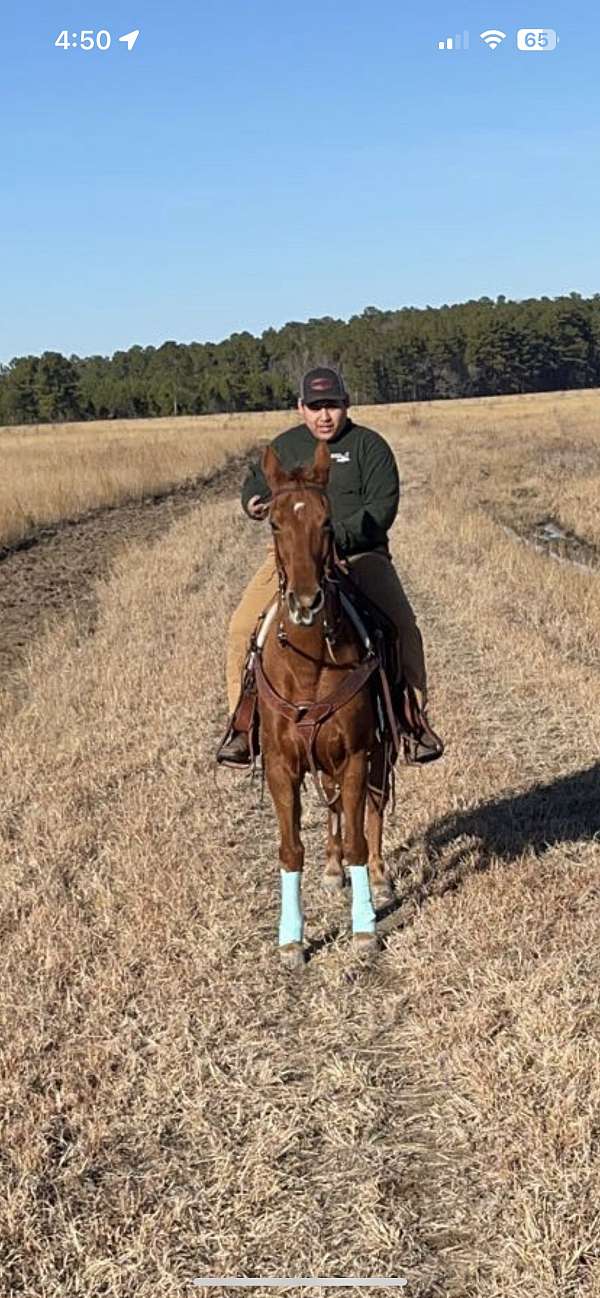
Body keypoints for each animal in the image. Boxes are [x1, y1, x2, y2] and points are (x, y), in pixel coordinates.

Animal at [257, 441, 394, 970]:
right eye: (274, 523)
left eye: (328, 522)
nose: (305, 602)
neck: (308, 664)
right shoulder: (281, 765)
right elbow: (290, 848)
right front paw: (291, 939)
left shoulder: (356, 755)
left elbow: (358, 837)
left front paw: (364, 929)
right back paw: (333, 868)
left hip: (378, 753)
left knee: (373, 810)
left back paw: (379, 876)